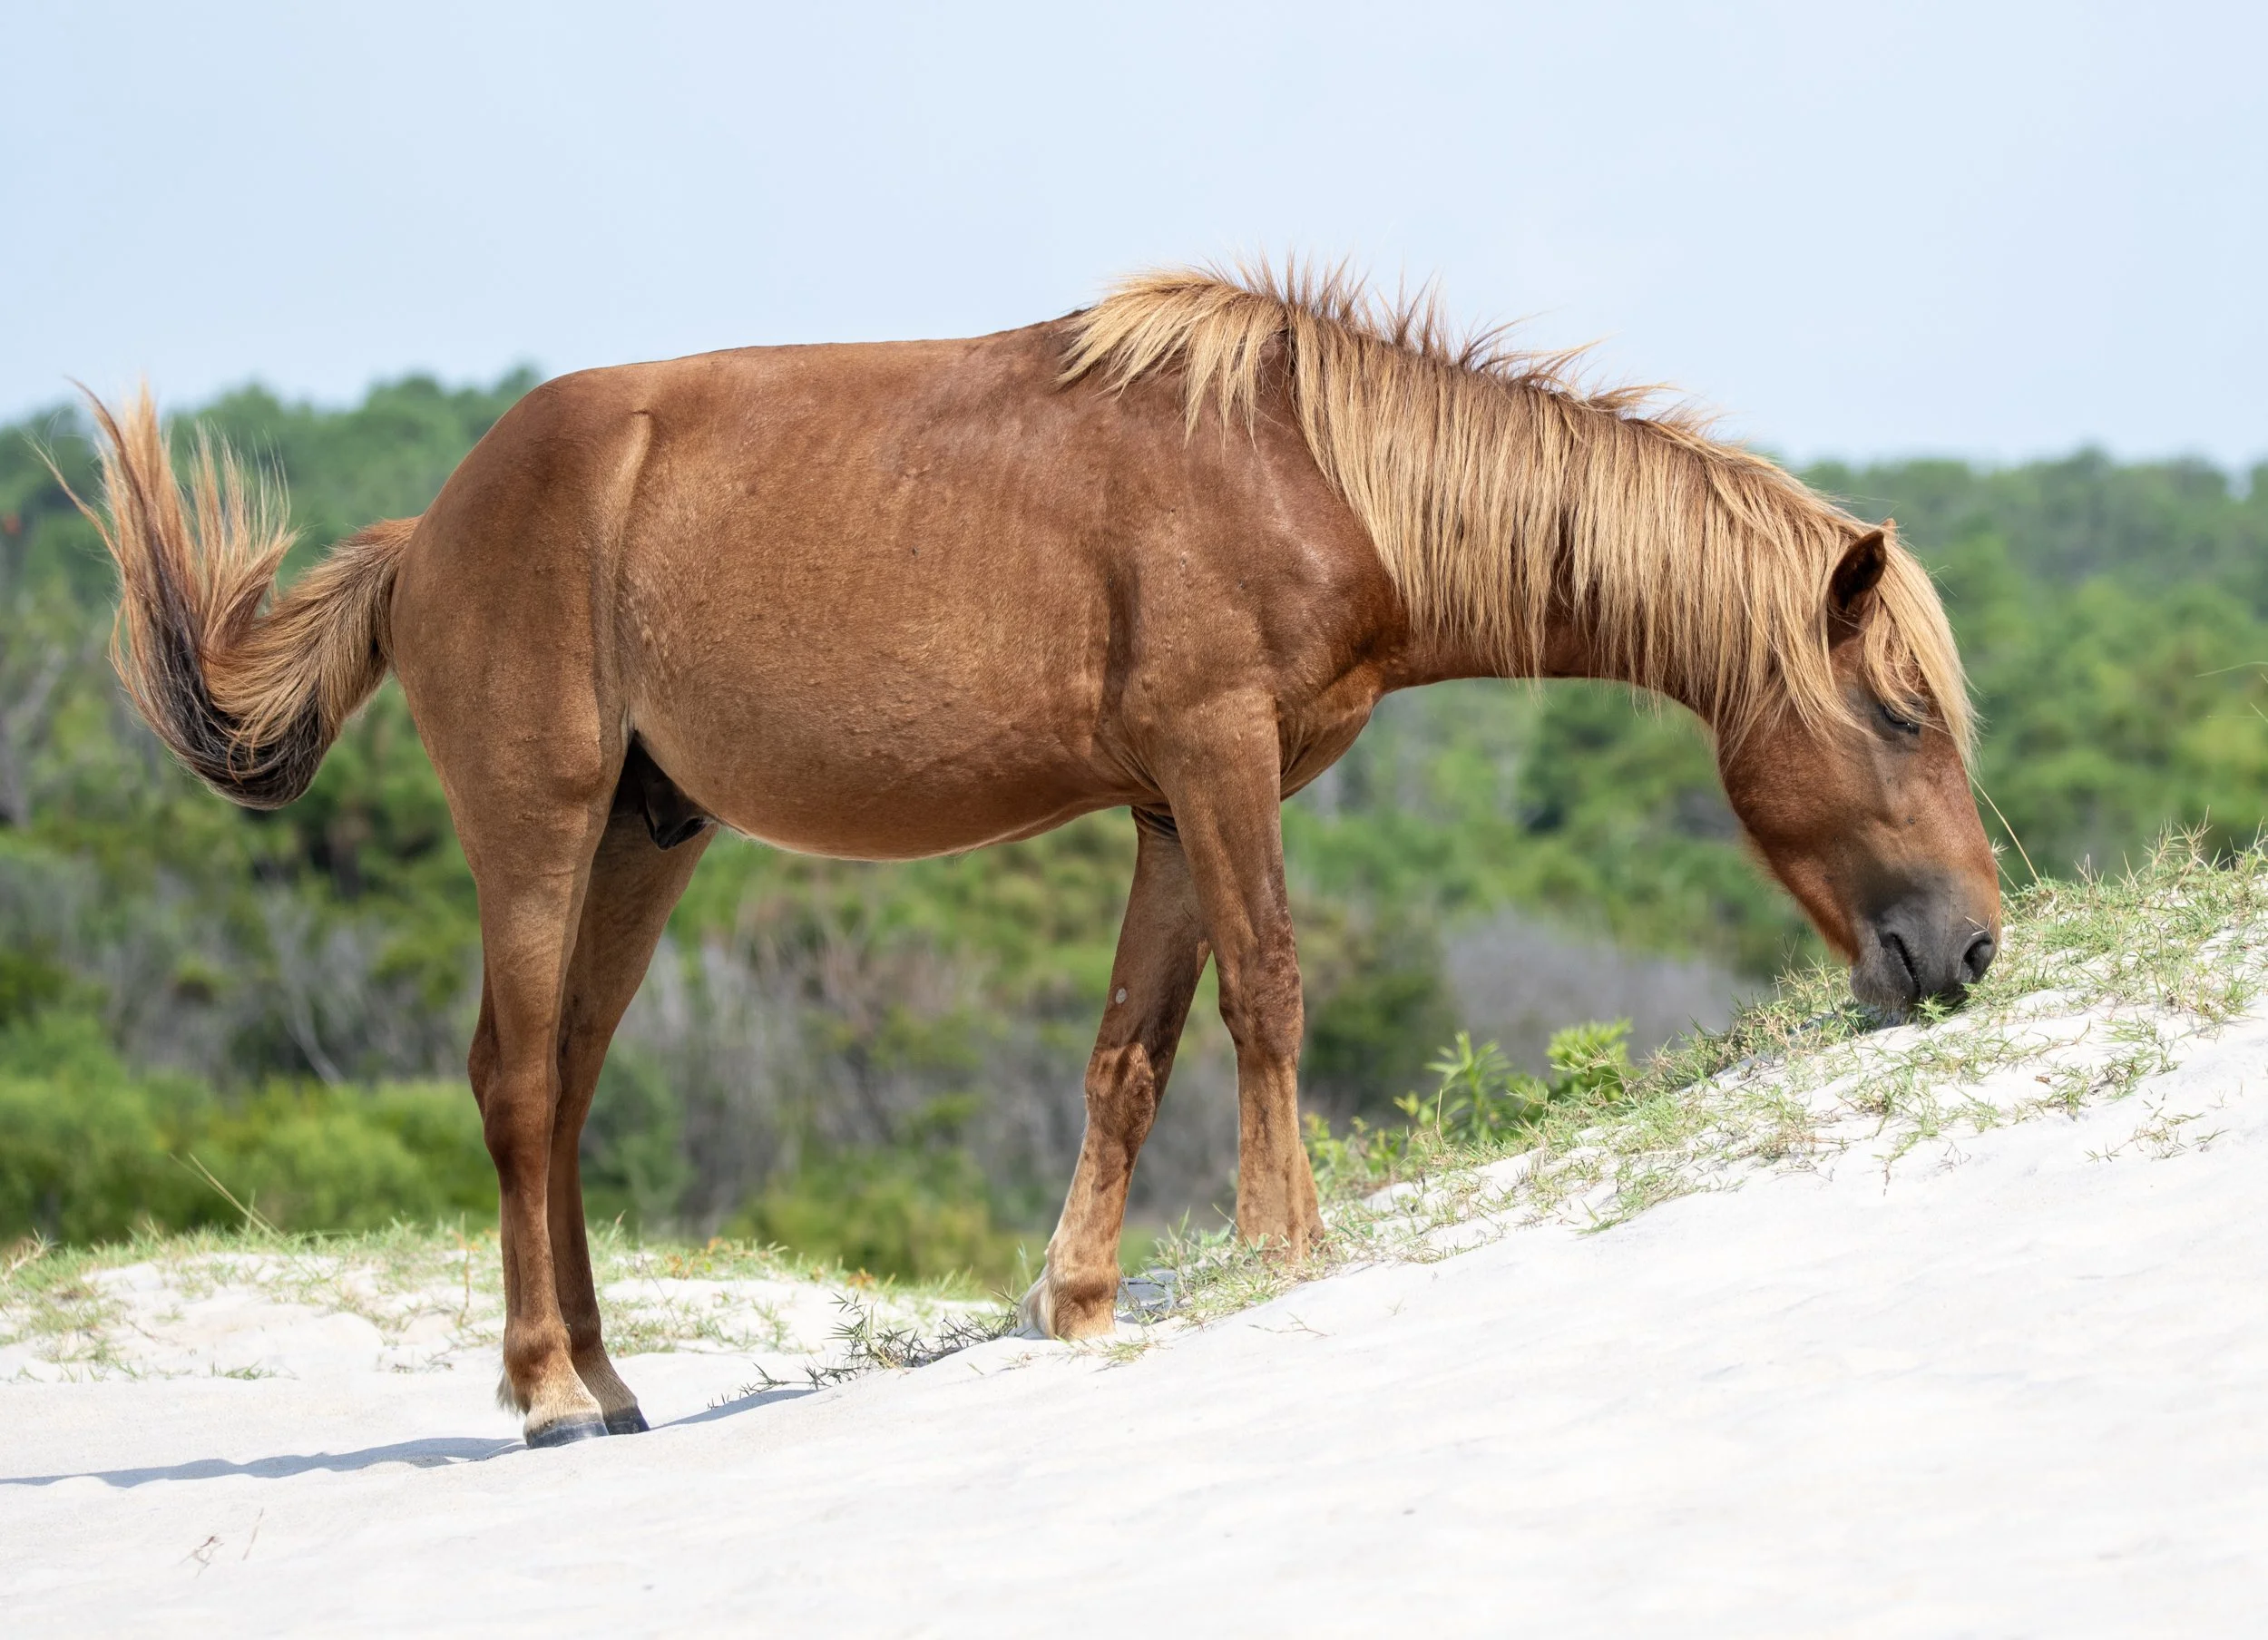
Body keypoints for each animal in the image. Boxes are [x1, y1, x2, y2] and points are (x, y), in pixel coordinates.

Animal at [77, 266, 1999, 1446]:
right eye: (1903, 713)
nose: (1971, 947)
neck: (1307, 466)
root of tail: (433, 523)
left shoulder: (1168, 803)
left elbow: (1128, 1052)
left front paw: (1079, 1294)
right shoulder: (1222, 763)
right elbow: (1270, 997)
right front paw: (1288, 1250)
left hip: (642, 841)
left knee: (567, 1082)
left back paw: (611, 1385)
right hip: (539, 833)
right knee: (518, 1083)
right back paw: (544, 1390)